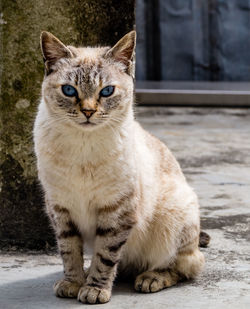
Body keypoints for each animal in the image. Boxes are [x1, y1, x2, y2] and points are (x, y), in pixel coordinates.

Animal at [33, 29, 209, 304]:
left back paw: (150, 278)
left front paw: (94, 290)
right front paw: (73, 283)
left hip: (175, 216)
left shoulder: (116, 209)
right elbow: (69, 252)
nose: (88, 112)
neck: (82, 145)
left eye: (106, 92)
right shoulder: (60, 208)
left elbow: (106, 256)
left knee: (186, 265)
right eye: (69, 90)